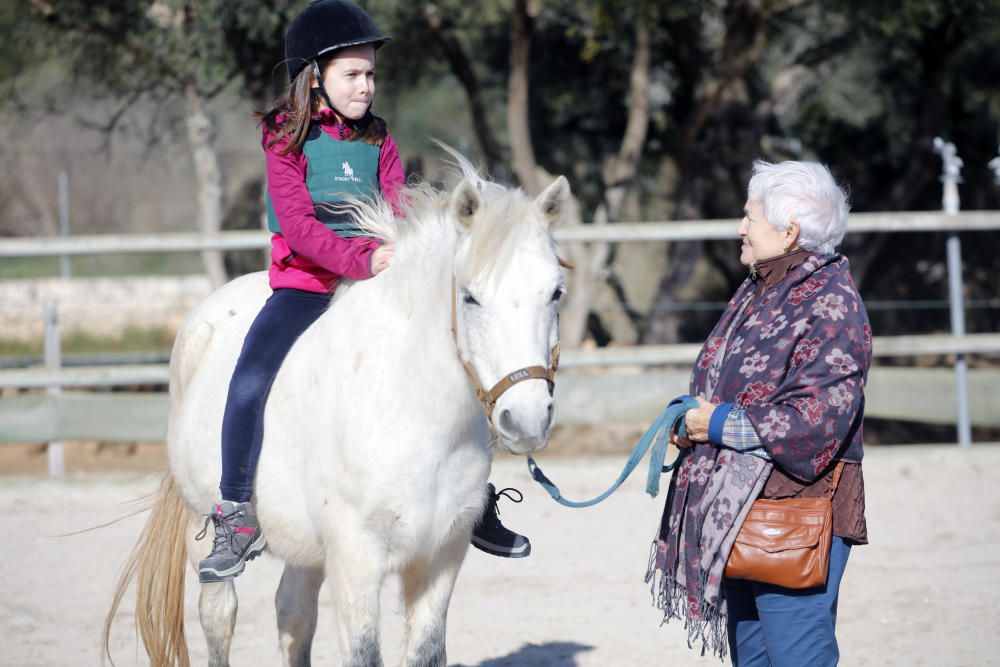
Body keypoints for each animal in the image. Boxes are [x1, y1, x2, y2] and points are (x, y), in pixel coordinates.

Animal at [103, 154, 572, 667]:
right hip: (199, 526)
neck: (410, 411)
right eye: (470, 296)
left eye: (556, 293)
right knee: (219, 616)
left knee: (293, 614)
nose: (526, 419)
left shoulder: (440, 557)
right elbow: (363, 652)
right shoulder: (356, 558)